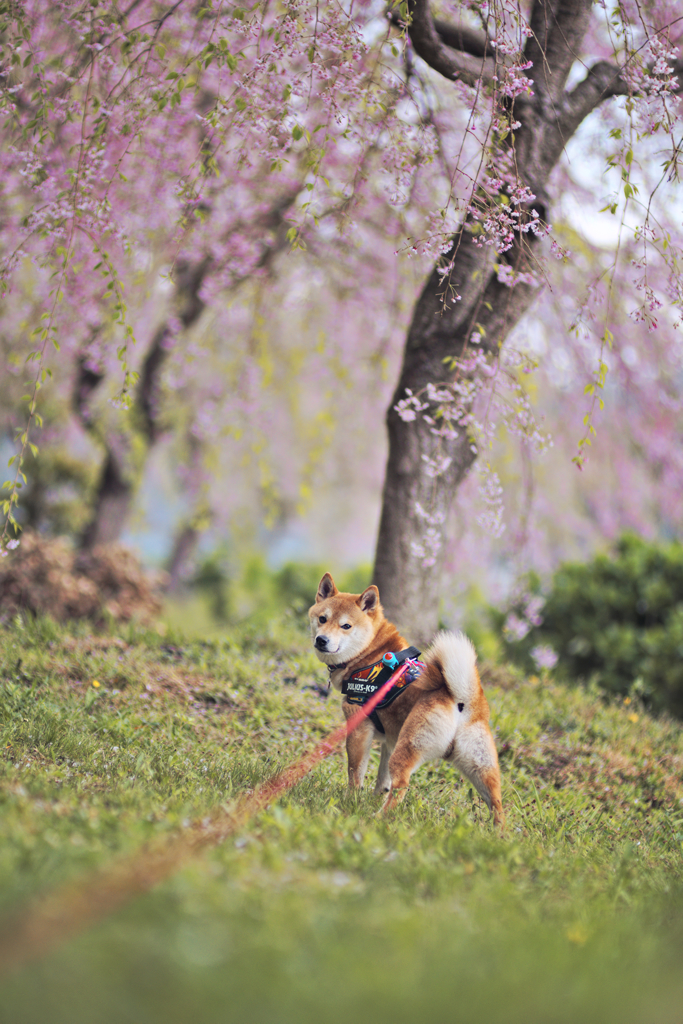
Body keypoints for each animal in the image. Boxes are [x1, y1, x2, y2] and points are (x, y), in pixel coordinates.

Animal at [309, 577, 501, 823]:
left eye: (346, 626)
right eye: (322, 619)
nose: (321, 640)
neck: (370, 654)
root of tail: (460, 700)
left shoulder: (359, 730)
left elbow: (355, 775)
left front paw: (351, 802)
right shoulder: (390, 741)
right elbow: (382, 782)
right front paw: (371, 800)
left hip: (407, 750)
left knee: (401, 786)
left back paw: (378, 818)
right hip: (479, 767)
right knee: (497, 803)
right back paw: (498, 832)